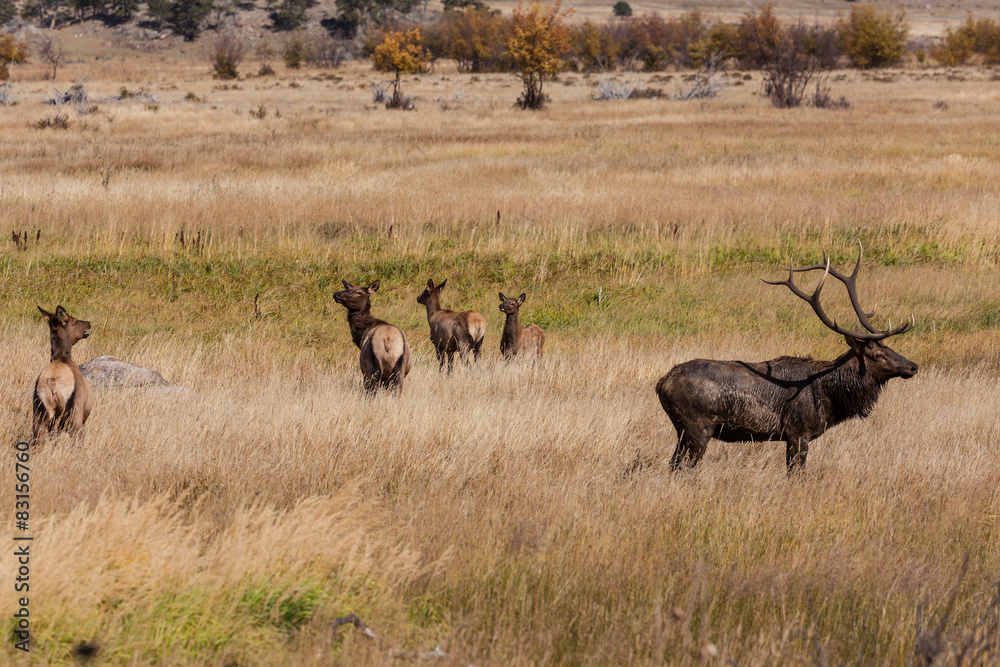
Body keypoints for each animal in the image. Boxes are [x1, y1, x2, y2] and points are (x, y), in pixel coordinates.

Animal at [32, 305, 93, 447]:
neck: (63, 357)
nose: (88, 323)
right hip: (74, 414)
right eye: (74, 321)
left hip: (40, 411)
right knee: (76, 440)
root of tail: (53, 386)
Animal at [656, 243, 918, 472]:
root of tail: (662, 383)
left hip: (683, 431)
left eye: (889, 347)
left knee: (673, 465)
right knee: (684, 467)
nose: (913, 366)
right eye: (878, 354)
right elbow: (796, 474)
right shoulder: (798, 431)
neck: (829, 397)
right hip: (697, 426)